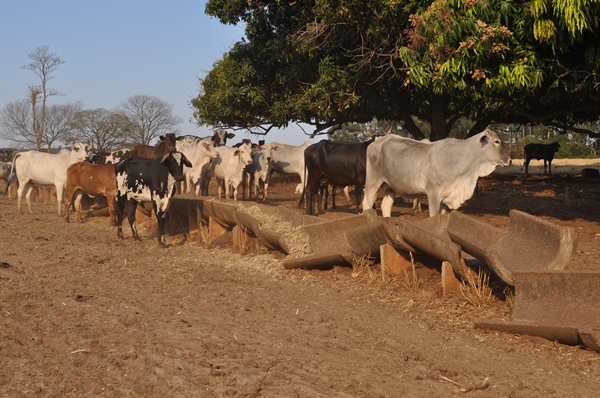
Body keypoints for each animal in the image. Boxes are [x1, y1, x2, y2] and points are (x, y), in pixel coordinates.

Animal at [360, 130, 510, 218]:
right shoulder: (433, 194)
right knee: (367, 203)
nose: (509, 160)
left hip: (390, 187)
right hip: (372, 182)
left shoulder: (446, 199)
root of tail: (378, 141)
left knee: (385, 206)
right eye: (497, 141)